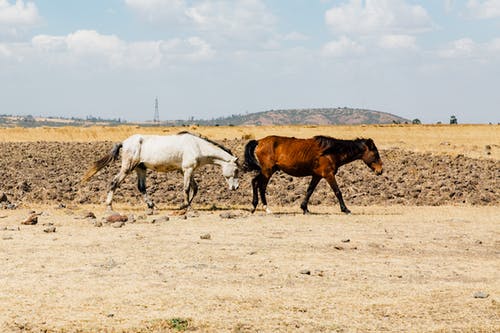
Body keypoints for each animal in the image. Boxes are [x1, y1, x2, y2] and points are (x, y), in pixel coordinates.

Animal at [81, 130, 238, 210]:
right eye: (237, 170)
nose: (235, 187)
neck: (197, 146)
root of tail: (124, 142)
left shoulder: (186, 171)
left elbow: (195, 188)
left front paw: (184, 205)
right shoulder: (187, 169)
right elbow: (187, 188)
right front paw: (187, 207)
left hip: (141, 169)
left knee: (141, 187)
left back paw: (151, 206)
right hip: (128, 168)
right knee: (114, 182)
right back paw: (109, 207)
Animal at [244, 134, 384, 213]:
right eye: (375, 154)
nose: (380, 171)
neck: (330, 152)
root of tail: (259, 141)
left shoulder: (317, 176)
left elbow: (309, 190)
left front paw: (304, 208)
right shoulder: (328, 175)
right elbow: (338, 191)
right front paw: (345, 209)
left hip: (267, 170)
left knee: (255, 182)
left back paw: (255, 207)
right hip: (267, 171)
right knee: (261, 186)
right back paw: (265, 208)